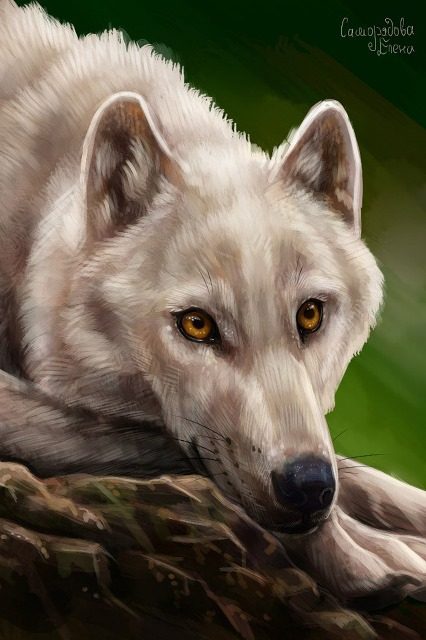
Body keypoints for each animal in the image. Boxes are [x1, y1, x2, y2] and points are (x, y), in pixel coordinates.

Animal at [0, 0, 425, 605]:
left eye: (311, 314)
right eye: (197, 325)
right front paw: (370, 557)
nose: (307, 487)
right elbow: (157, 441)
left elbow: (359, 472)